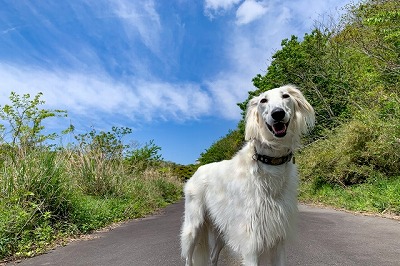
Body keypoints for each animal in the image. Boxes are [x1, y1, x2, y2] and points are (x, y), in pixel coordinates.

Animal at [180, 85, 314, 266]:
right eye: (263, 100)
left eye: (285, 96)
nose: (277, 114)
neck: (270, 163)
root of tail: (198, 169)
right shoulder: (251, 242)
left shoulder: (278, 238)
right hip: (193, 227)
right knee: (189, 257)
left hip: (222, 229)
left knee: (213, 256)